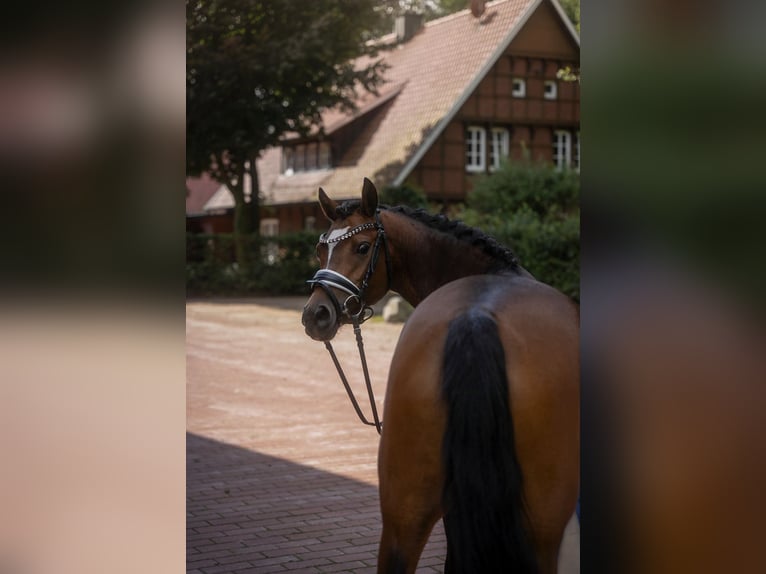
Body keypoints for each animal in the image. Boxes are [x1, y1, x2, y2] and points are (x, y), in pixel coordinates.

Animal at [304, 180, 580, 574]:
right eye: (319, 249)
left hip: (404, 506)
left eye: (362, 247)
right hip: (543, 521)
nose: (316, 314)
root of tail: (475, 316)